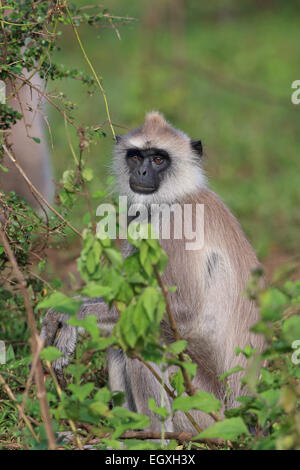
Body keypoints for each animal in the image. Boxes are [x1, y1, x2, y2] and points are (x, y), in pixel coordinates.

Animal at [41, 111, 264, 434]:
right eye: (135, 157)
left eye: (159, 159)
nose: (143, 172)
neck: (175, 196)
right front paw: (64, 311)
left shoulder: (180, 223)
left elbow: (183, 311)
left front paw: (73, 317)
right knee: (120, 341)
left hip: (203, 407)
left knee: (145, 343)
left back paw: (154, 435)